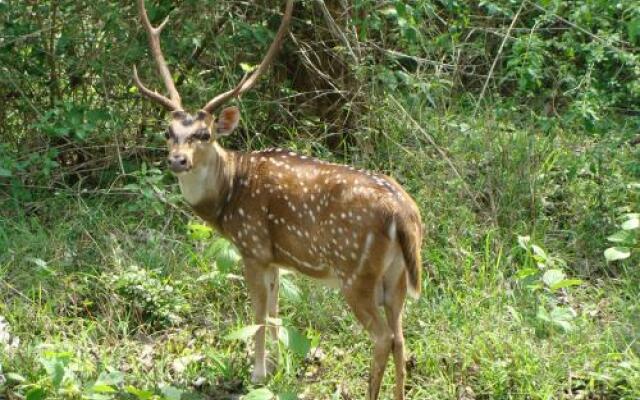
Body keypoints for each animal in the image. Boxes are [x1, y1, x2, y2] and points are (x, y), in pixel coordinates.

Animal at [132, 1, 422, 398]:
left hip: (355, 271)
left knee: (383, 338)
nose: (178, 160)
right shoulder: (277, 259)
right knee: (401, 339)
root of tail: (403, 213)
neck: (228, 195)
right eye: (168, 132)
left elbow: (257, 314)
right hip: (398, 278)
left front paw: (256, 374)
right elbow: (274, 311)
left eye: (204, 134)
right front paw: (274, 367)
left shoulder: (252, 246)